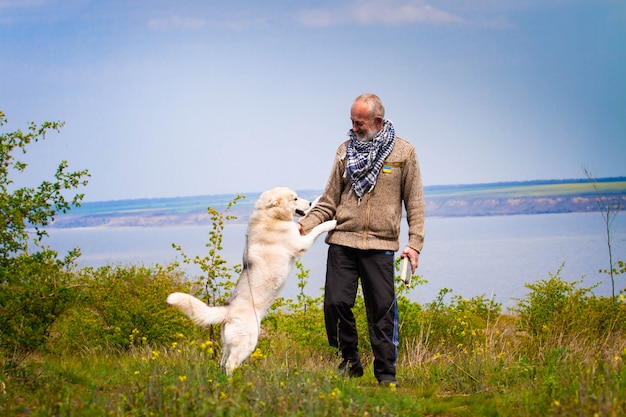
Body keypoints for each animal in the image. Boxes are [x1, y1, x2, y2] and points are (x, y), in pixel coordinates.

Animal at [163, 186, 334, 374]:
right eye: (295, 198)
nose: (309, 202)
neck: (270, 215)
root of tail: (228, 310)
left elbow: (307, 216)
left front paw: (318, 199)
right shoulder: (301, 242)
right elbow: (318, 228)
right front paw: (331, 223)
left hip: (229, 345)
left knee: (223, 361)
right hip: (247, 343)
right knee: (230, 364)